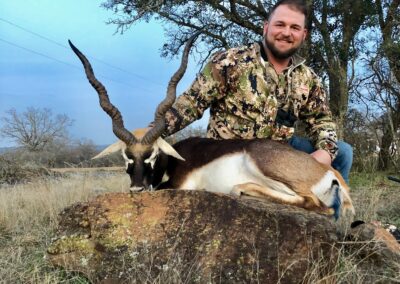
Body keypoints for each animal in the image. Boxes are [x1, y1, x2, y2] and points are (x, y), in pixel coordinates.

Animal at [68, 35, 354, 220]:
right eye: (126, 156)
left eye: (153, 155)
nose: (137, 189)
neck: (174, 160)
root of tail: (328, 171)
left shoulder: (178, 186)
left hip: (264, 164)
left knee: (316, 204)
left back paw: (241, 188)